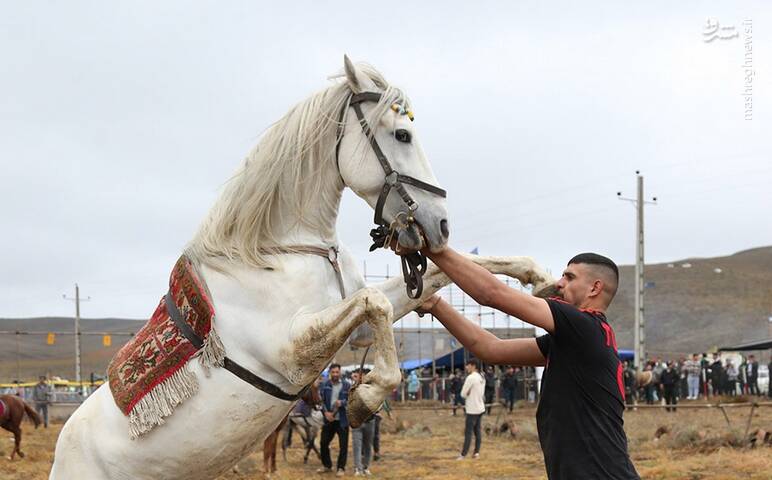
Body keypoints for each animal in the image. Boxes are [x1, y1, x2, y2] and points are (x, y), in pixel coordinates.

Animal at [49, 55, 556, 476]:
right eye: (402, 134)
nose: (441, 225)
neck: (281, 252)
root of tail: (62, 453)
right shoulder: (290, 349)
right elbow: (377, 303)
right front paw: (365, 398)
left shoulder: (349, 320)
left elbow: (447, 273)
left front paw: (540, 279)